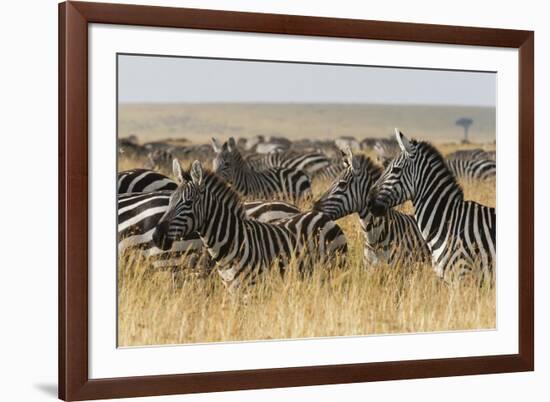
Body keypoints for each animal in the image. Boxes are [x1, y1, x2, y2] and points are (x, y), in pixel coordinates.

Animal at [153, 159, 348, 288]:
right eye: (170, 200)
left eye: (188, 203)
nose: (156, 236)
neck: (231, 240)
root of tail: (324, 217)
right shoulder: (232, 290)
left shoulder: (251, 288)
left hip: (335, 270)